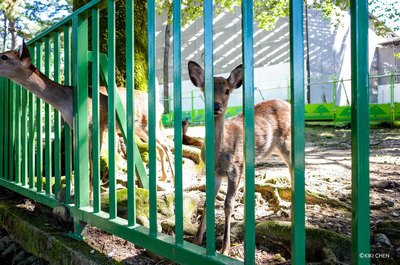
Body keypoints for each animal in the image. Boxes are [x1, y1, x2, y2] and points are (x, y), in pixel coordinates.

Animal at [0, 41, 175, 197]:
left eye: (4, 56)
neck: (67, 104)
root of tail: (161, 106)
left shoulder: (97, 126)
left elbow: (93, 160)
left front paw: (91, 198)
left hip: (148, 122)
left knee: (166, 143)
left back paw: (171, 180)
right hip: (140, 127)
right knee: (159, 145)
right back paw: (163, 178)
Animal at [188, 60, 290, 254]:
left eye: (227, 90)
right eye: (206, 88)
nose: (217, 106)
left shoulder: (235, 167)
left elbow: (228, 204)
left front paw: (225, 249)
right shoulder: (214, 171)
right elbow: (207, 201)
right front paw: (197, 240)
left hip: (287, 144)